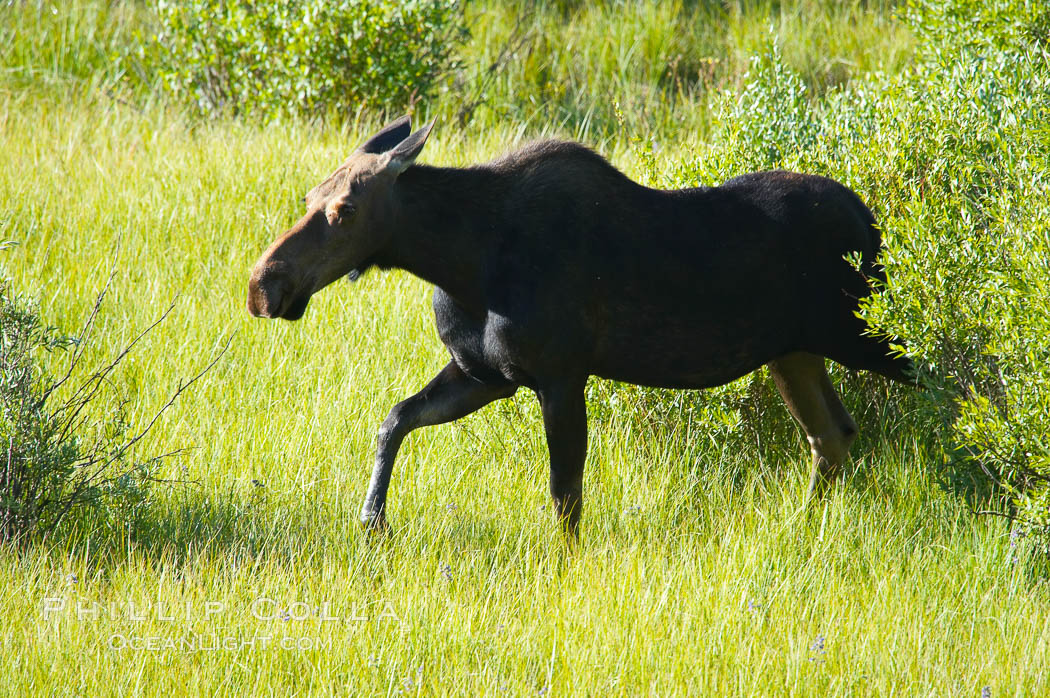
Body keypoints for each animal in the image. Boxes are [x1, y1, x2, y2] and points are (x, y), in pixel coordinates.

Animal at [245, 117, 911, 535]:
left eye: (345, 209)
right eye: (309, 197)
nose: (263, 285)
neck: (463, 263)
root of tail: (869, 219)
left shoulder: (560, 374)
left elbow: (565, 496)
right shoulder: (485, 374)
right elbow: (394, 419)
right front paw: (372, 519)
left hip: (867, 335)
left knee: (931, 379)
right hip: (793, 353)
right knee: (832, 435)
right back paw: (800, 528)